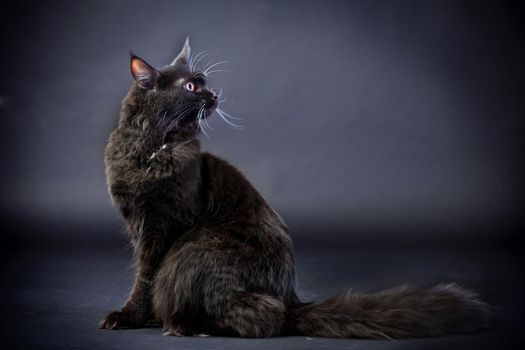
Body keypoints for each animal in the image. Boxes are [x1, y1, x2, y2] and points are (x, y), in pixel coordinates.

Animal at [98, 39, 492, 340]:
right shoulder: (140, 226)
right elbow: (142, 279)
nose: (214, 95)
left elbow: (147, 278)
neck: (152, 149)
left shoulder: (165, 228)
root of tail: (291, 299)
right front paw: (135, 317)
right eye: (191, 87)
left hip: (192, 251)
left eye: (204, 82)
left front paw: (134, 317)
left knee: (266, 317)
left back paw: (190, 326)